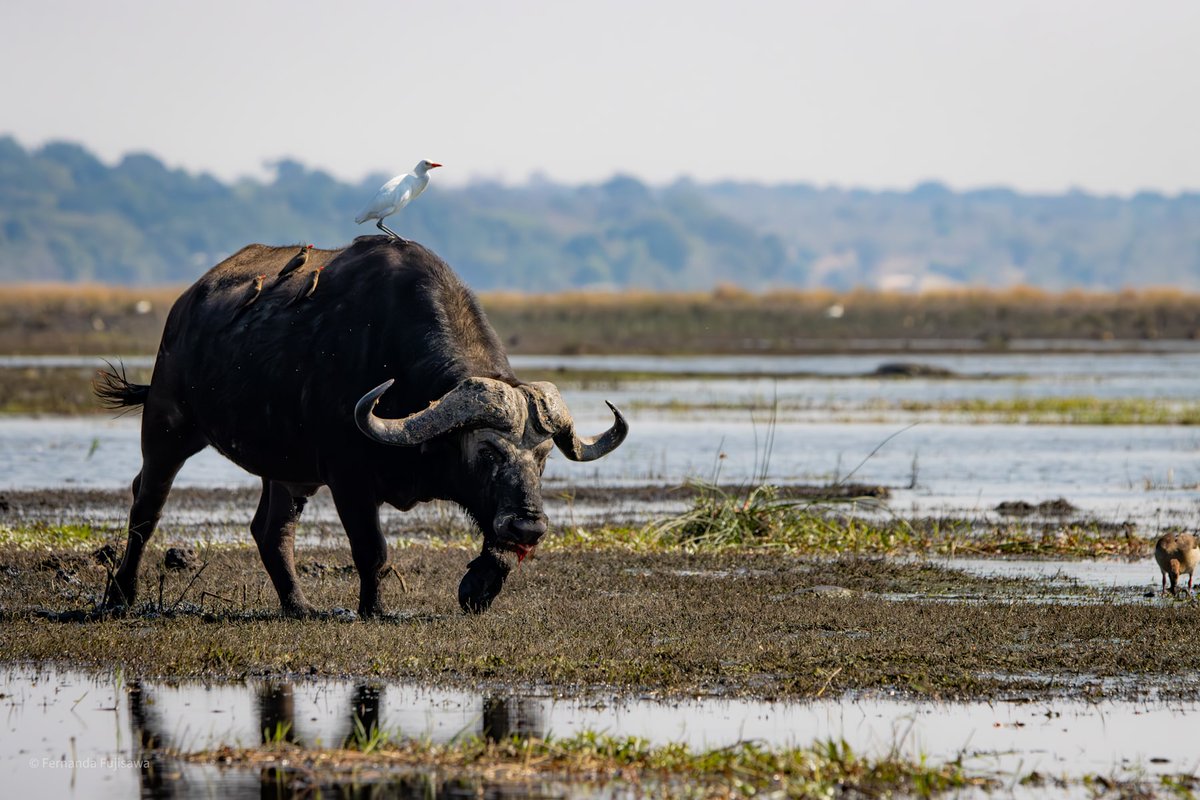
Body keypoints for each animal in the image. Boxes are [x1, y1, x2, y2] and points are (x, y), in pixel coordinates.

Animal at [94, 236, 627, 617]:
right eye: (488, 451)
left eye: (542, 457)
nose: (530, 524)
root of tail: (185, 307)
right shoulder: (348, 478)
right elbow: (372, 549)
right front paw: (373, 609)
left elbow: (496, 548)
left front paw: (476, 588)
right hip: (167, 427)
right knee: (146, 508)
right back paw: (121, 596)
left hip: (288, 470)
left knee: (271, 530)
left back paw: (299, 606)